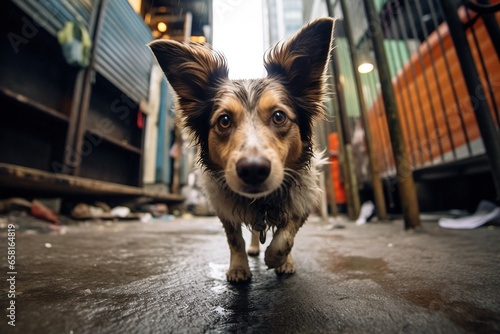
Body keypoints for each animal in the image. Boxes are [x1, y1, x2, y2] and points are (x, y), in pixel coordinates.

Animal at [149, 17, 336, 280]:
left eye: (279, 116)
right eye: (224, 120)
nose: (253, 170)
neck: (261, 201)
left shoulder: (304, 199)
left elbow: (287, 235)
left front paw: (278, 258)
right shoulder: (223, 207)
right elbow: (234, 239)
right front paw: (239, 268)